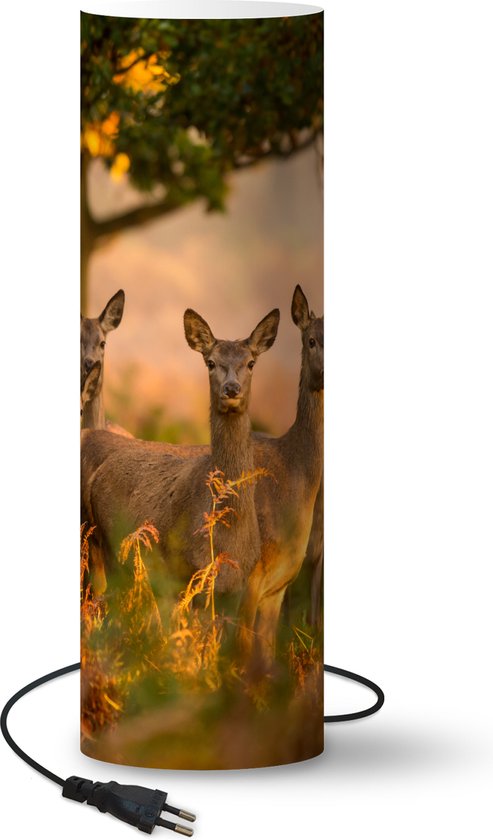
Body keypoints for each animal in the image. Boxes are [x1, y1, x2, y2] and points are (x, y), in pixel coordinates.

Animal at [81, 307, 280, 597]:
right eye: (210, 362)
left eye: (251, 362)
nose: (232, 388)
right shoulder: (182, 571)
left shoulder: (240, 583)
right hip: (111, 547)